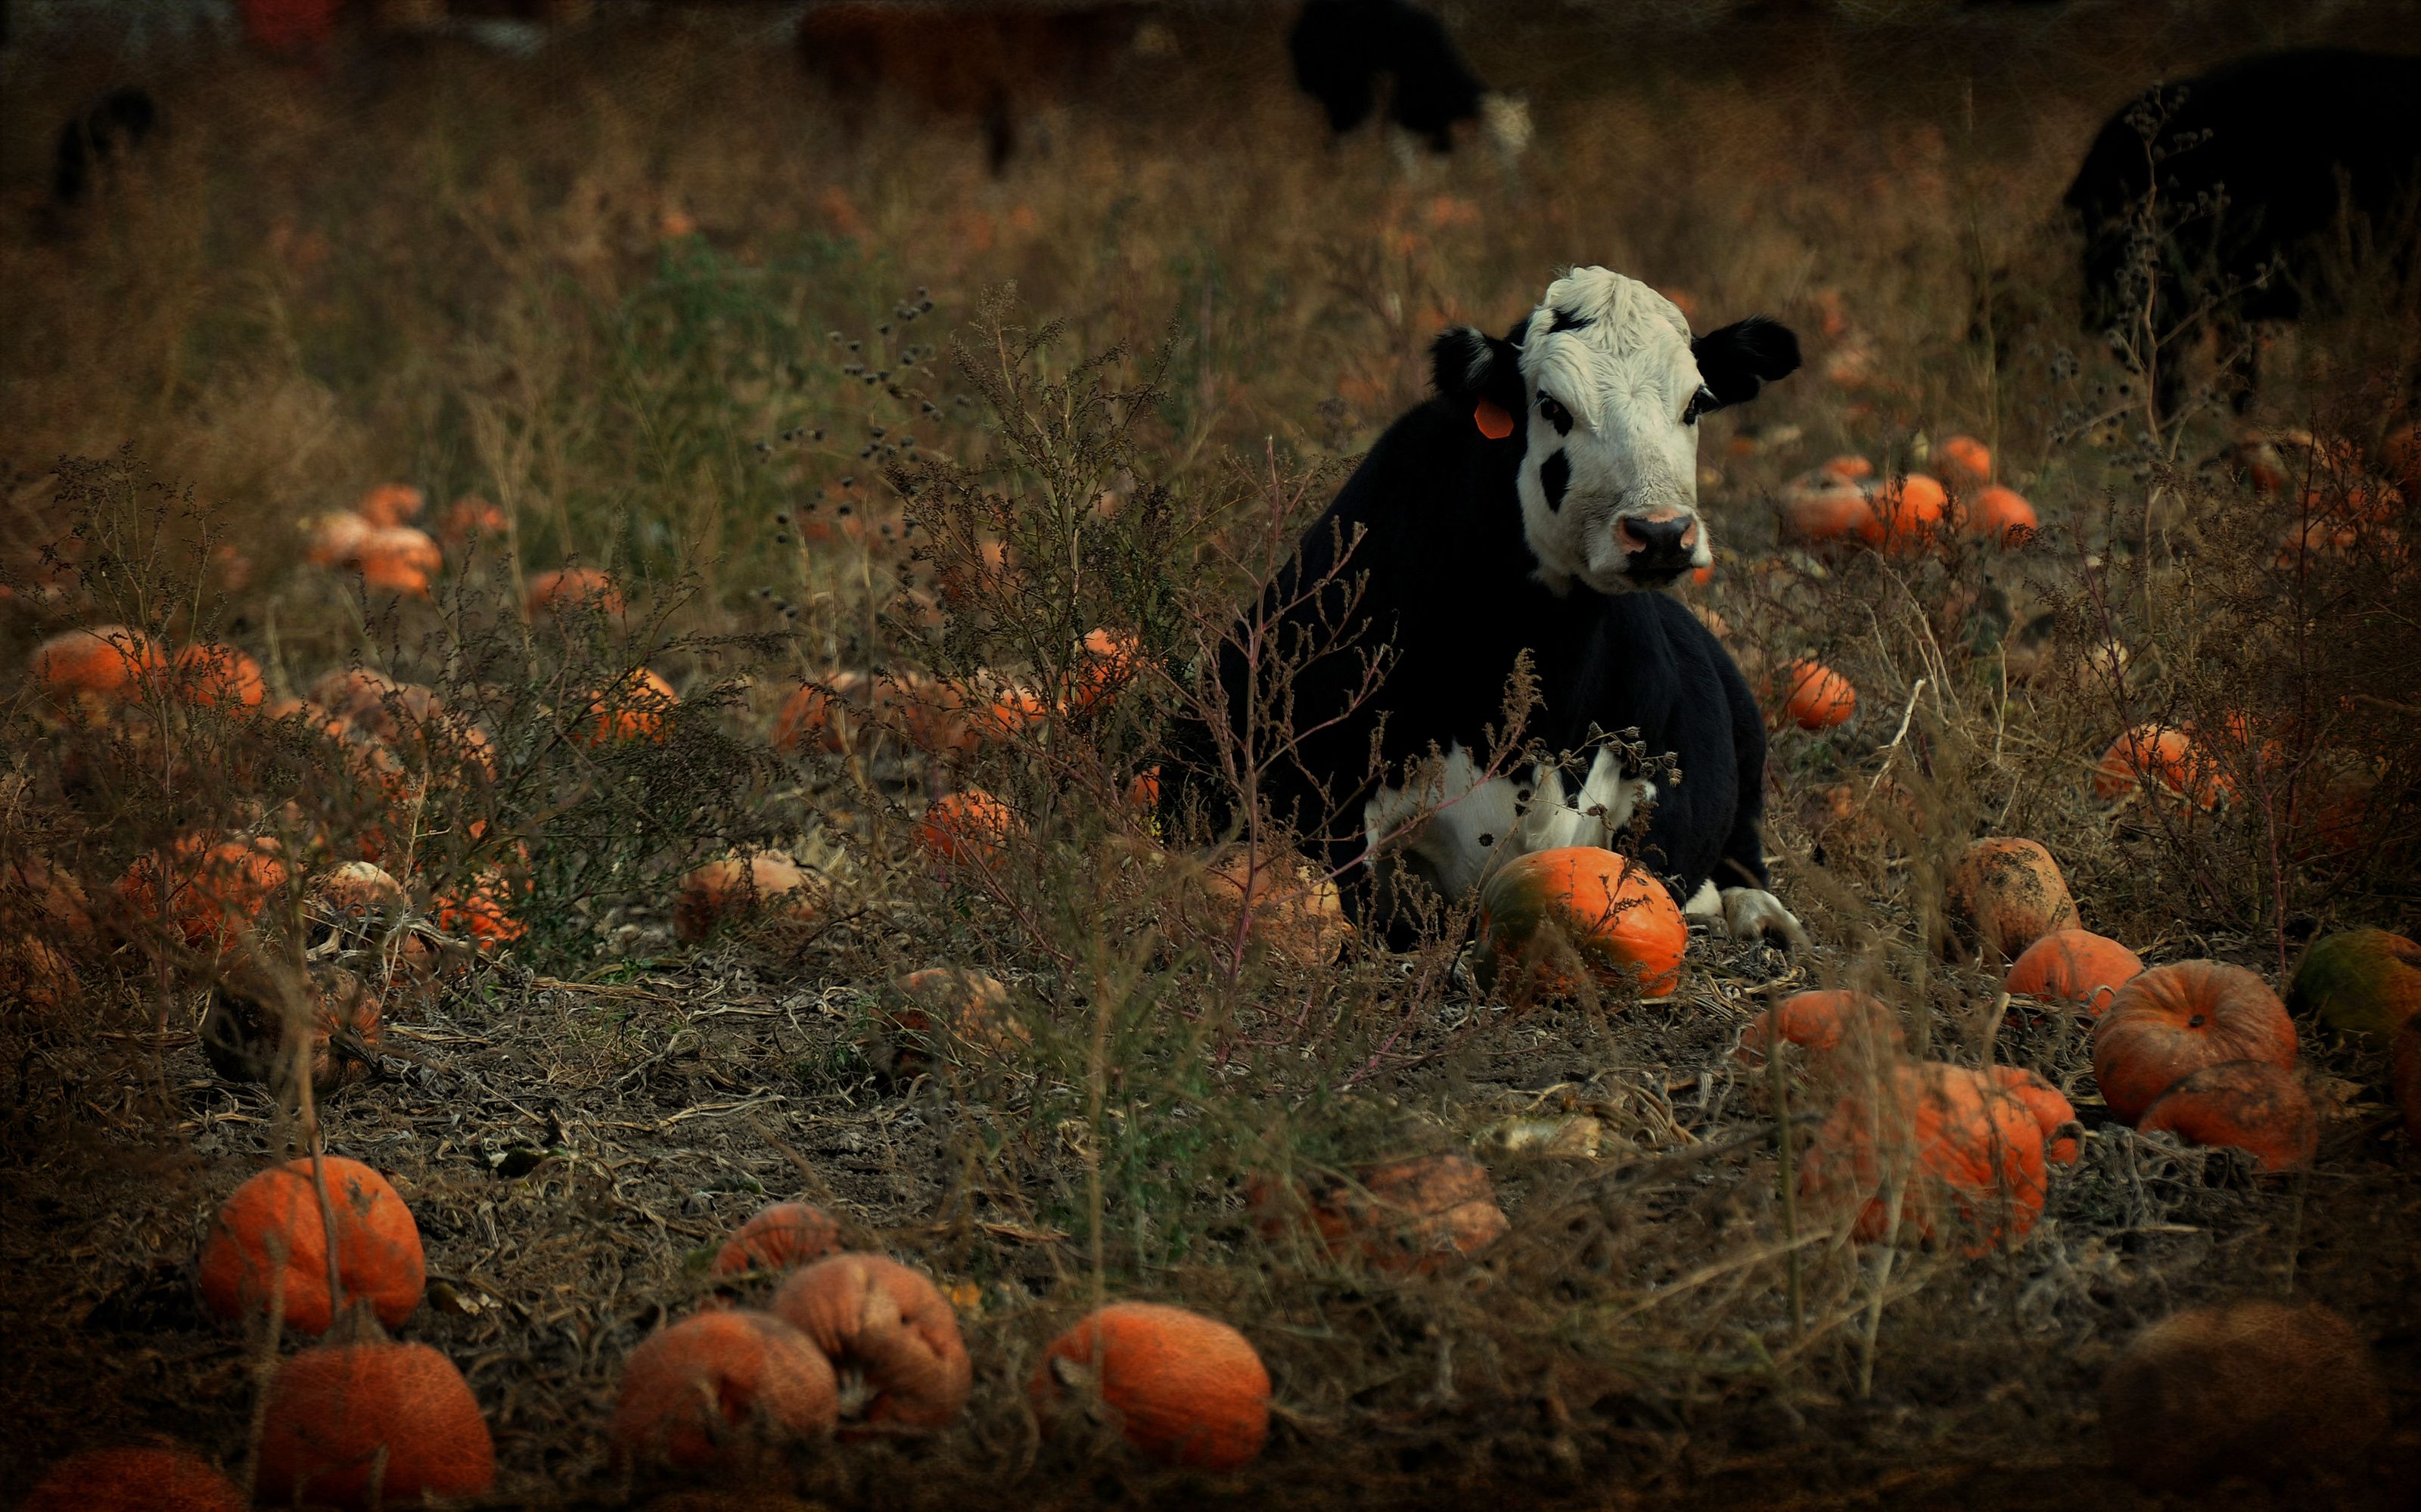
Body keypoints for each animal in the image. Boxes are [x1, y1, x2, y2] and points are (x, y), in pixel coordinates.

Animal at [799, 3, 1157, 175]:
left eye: (1129, 34)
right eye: (1105, 34)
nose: (1110, 65)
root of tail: (811, 19)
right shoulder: (1015, 112)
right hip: (853, 104)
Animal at [1288, 0, 1530, 168]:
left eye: (1523, 124)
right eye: (1510, 121)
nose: (1526, 142)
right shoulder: (1413, 106)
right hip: (1343, 74)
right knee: (1348, 107)